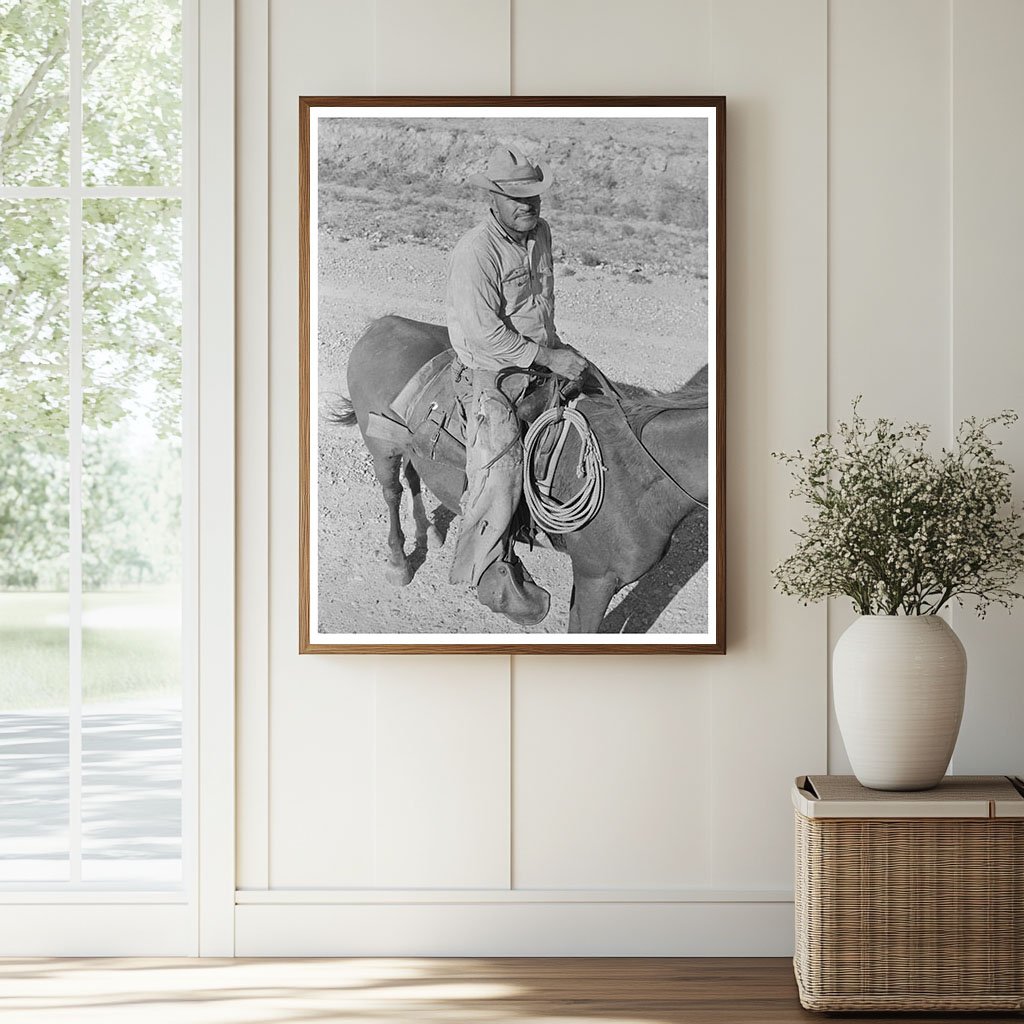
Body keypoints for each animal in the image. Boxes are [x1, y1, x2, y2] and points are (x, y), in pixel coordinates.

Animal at [331, 313, 708, 630]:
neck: (634, 475)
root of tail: (382, 324)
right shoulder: (596, 579)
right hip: (382, 448)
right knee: (392, 493)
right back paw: (399, 563)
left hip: (408, 448)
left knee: (412, 476)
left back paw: (430, 532)